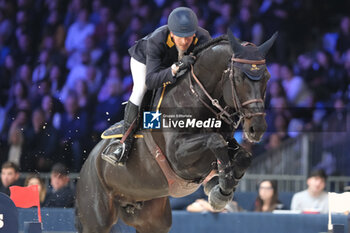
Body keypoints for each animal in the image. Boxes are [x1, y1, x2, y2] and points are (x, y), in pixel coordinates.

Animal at [75, 30, 278, 232]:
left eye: (267, 77)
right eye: (237, 78)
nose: (257, 128)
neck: (195, 96)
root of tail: (88, 162)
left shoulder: (228, 142)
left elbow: (243, 157)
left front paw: (218, 187)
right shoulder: (178, 158)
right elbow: (215, 141)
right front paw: (220, 193)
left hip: (152, 220)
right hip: (95, 219)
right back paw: (117, 152)